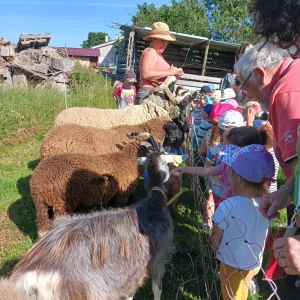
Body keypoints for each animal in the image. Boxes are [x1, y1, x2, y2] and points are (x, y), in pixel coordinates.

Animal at [29, 132, 161, 236]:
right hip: (59, 204)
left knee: (42, 227)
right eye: (153, 144)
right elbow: (119, 206)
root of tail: (37, 182)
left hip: (41, 207)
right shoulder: (122, 193)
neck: (128, 160)